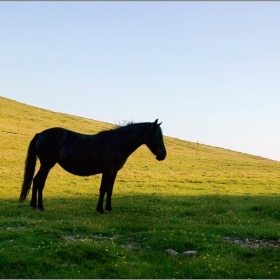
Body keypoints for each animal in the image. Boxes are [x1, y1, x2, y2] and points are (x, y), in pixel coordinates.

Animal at [19, 118, 166, 212]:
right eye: (157, 136)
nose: (163, 155)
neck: (117, 142)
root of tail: (41, 134)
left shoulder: (114, 171)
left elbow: (109, 189)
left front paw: (109, 208)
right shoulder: (107, 170)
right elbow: (103, 188)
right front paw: (100, 209)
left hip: (45, 165)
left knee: (36, 181)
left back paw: (34, 205)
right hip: (47, 165)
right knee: (39, 182)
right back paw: (40, 207)